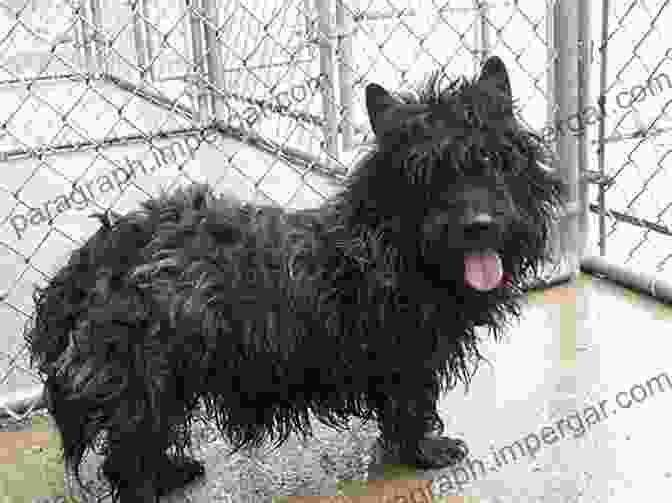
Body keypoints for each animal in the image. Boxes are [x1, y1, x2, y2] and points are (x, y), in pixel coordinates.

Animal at [23, 57, 564, 502]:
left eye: (493, 160)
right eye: (425, 173)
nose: (479, 225)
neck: (389, 246)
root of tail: (99, 251)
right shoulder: (406, 355)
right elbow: (411, 405)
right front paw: (425, 452)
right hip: (147, 372)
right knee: (129, 453)